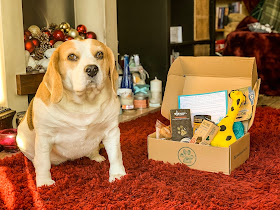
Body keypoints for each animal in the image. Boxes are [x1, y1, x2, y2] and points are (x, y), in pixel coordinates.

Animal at [17, 39, 126, 187]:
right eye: (72, 57)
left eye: (99, 54)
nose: (92, 69)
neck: (83, 104)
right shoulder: (45, 137)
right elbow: (43, 163)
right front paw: (44, 183)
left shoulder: (111, 131)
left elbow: (115, 155)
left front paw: (118, 175)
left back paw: (96, 156)